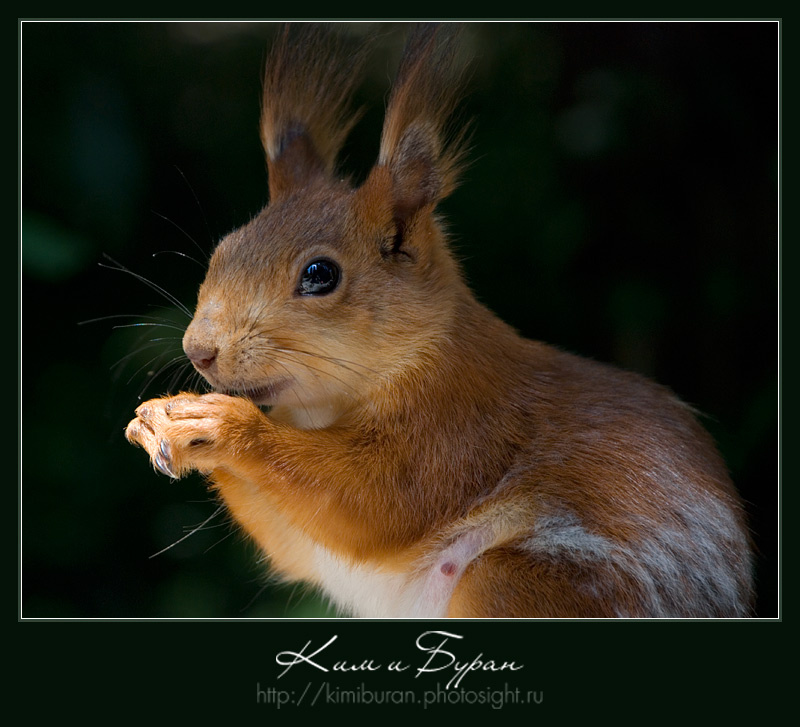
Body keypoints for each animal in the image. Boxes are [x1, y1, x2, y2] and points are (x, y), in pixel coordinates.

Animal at [125, 23, 754, 618]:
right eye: (223, 250)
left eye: (320, 275)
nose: (199, 351)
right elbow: (292, 541)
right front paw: (159, 419)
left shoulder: (461, 427)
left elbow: (371, 501)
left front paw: (220, 423)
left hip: (517, 584)